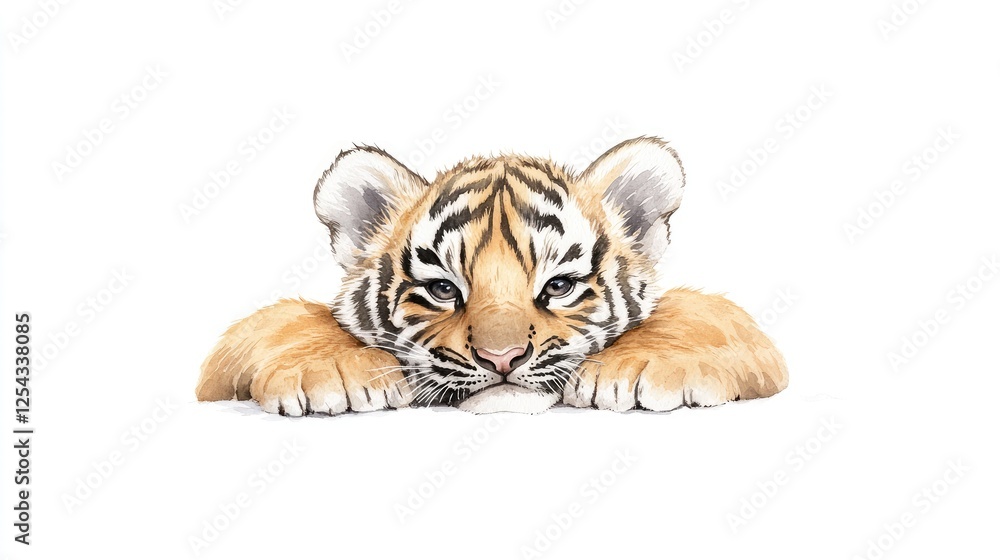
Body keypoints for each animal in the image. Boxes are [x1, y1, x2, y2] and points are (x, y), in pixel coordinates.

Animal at [195, 137, 788, 415]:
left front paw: (644, 366)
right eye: (442, 289)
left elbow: (704, 311)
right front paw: (332, 372)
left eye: (559, 286)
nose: (501, 359)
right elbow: (282, 318)